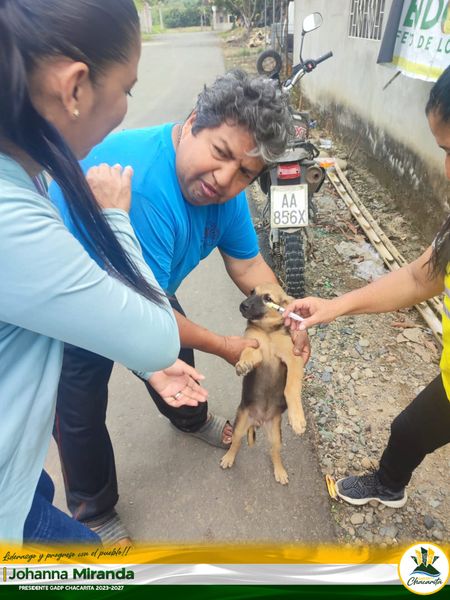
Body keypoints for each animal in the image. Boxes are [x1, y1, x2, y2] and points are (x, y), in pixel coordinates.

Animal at [220, 282, 305, 484]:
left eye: (268, 298)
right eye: (252, 292)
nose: (243, 305)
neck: (267, 332)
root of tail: (259, 420)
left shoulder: (293, 358)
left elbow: (291, 387)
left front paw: (297, 418)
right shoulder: (252, 343)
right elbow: (249, 352)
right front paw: (244, 363)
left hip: (275, 435)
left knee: (274, 452)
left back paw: (280, 471)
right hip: (240, 424)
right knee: (235, 443)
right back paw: (228, 458)